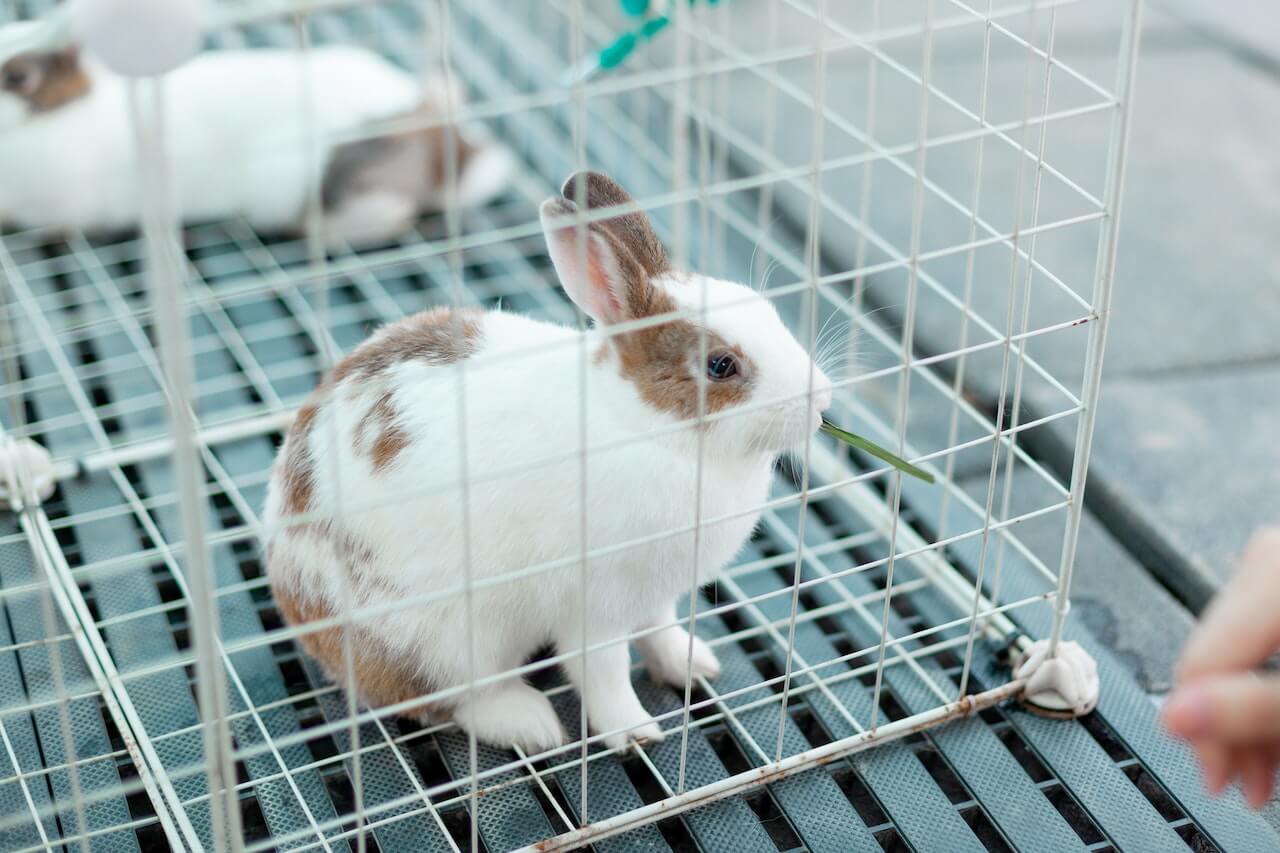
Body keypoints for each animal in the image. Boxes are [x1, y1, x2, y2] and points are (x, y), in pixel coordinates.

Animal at [262, 171, 839, 753]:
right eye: (721, 366)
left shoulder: (654, 595)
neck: (651, 427)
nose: (822, 399)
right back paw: (532, 723)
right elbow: (604, 672)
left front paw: (694, 665)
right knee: (448, 700)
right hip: (443, 640)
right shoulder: (595, 606)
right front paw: (635, 733)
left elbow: (661, 632)